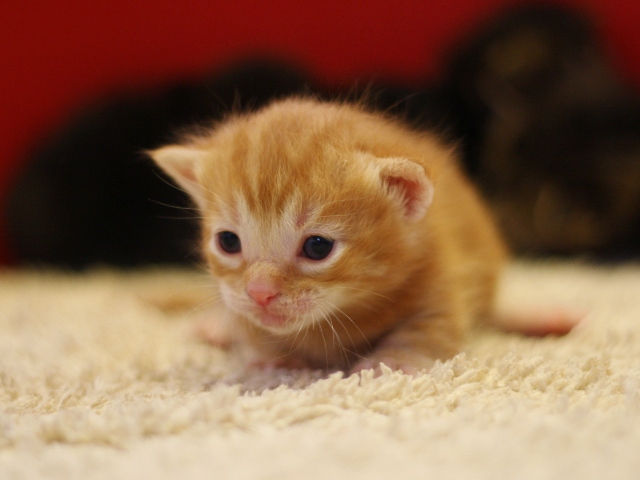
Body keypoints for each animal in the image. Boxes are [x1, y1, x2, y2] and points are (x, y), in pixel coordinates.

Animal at [150, 98, 510, 376]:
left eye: (317, 247)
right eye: (228, 242)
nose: (260, 293)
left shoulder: (442, 273)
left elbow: (426, 330)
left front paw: (390, 362)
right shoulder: (237, 297)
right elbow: (251, 326)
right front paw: (274, 359)